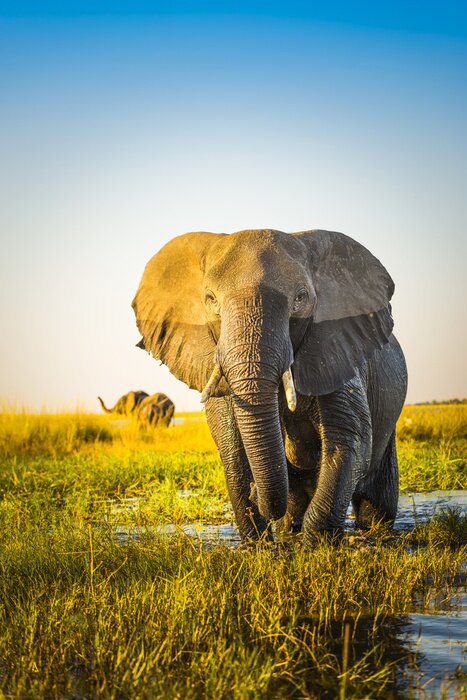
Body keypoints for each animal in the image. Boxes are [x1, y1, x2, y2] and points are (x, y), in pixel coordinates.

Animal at [132, 228, 407, 546]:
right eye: (210, 299)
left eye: (301, 297)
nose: (258, 494)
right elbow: (232, 449)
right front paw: (259, 545)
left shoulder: (335, 349)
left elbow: (349, 440)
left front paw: (316, 547)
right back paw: (289, 530)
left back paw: (372, 532)